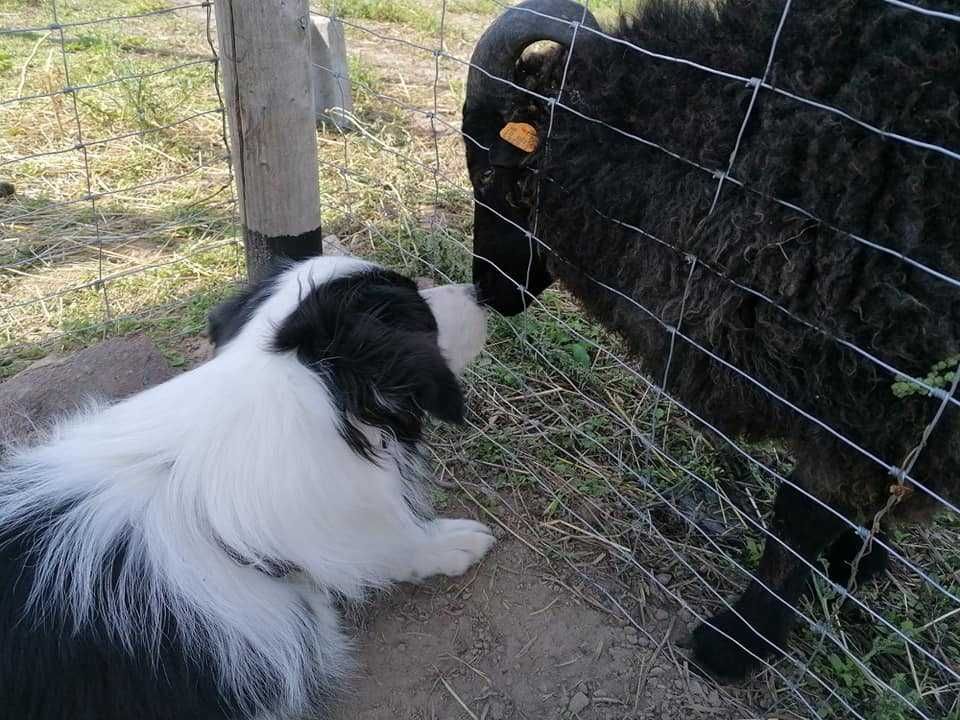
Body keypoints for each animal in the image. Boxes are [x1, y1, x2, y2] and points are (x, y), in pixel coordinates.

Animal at [462, 0, 956, 680]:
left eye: (489, 173)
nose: (487, 289)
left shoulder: (863, 405)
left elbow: (800, 512)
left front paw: (740, 641)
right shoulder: (890, 417)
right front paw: (858, 561)